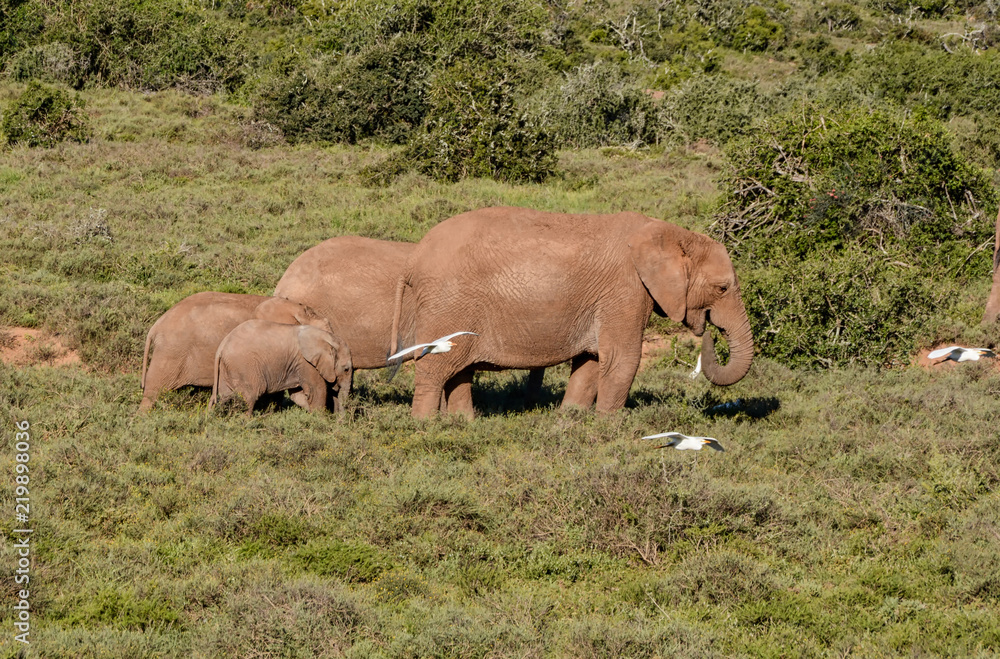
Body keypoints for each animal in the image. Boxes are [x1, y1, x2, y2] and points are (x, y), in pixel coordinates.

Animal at [210, 320, 353, 415]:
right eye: (346, 369)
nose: (338, 422)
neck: (327, 337)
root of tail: (222, 345)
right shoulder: (306, 362)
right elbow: (316, 391)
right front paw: (319, 420)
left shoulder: (297, 364)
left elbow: (297, 395)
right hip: (244, 366)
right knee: (250, 396)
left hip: (228, 368)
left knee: (224, 396)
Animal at [390, 207, 754, 418]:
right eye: (722, 288)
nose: (709, 333)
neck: (670, 233)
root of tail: (414, 258)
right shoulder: (626, 290)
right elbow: (623, 358)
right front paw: (610, 427)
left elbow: (592, 361)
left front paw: (571, 421)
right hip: (448, 304)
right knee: (434, 370)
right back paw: (426, 428)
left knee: (458, 371)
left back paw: (463, 425)